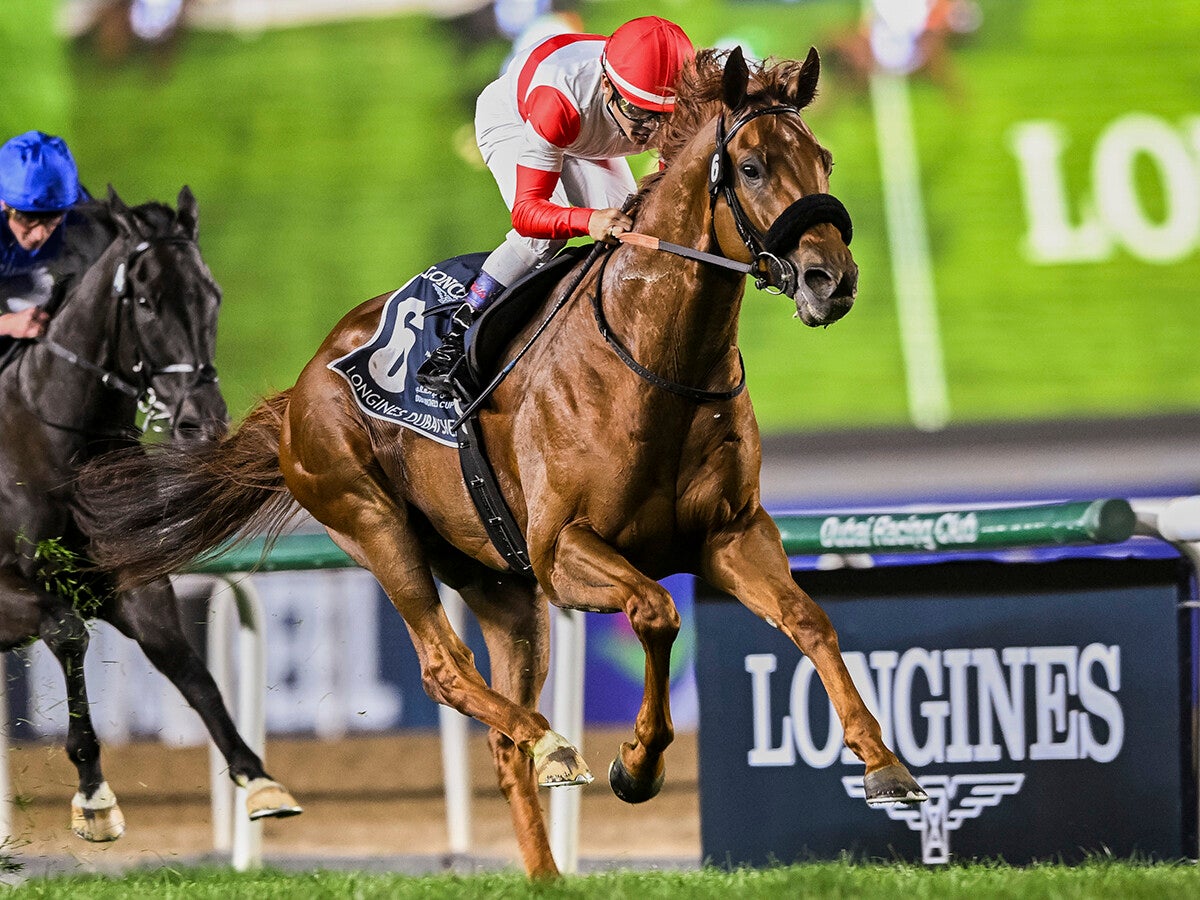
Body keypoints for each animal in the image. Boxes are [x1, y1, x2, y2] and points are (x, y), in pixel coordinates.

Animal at [0, 187, 300, 842]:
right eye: (144, 301)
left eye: (211, 294)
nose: (200, 419)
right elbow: (67, 632)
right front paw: (93, 794)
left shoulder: (131, 579)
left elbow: (188, 666)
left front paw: (257, 777)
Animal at [78, 48, 925, 875]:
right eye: (750, 167)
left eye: (823, 159)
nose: (831, 280)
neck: (655, 360)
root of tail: (303, 386)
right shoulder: (561, 549)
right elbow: (656, 609)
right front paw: (636, 764)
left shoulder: (732, 533)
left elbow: (808, 619)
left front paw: (884, 762)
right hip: (375, 523)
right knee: (446, 669)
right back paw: (553, 742)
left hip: (499, 585)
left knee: (500, 735)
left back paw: (548, 861)